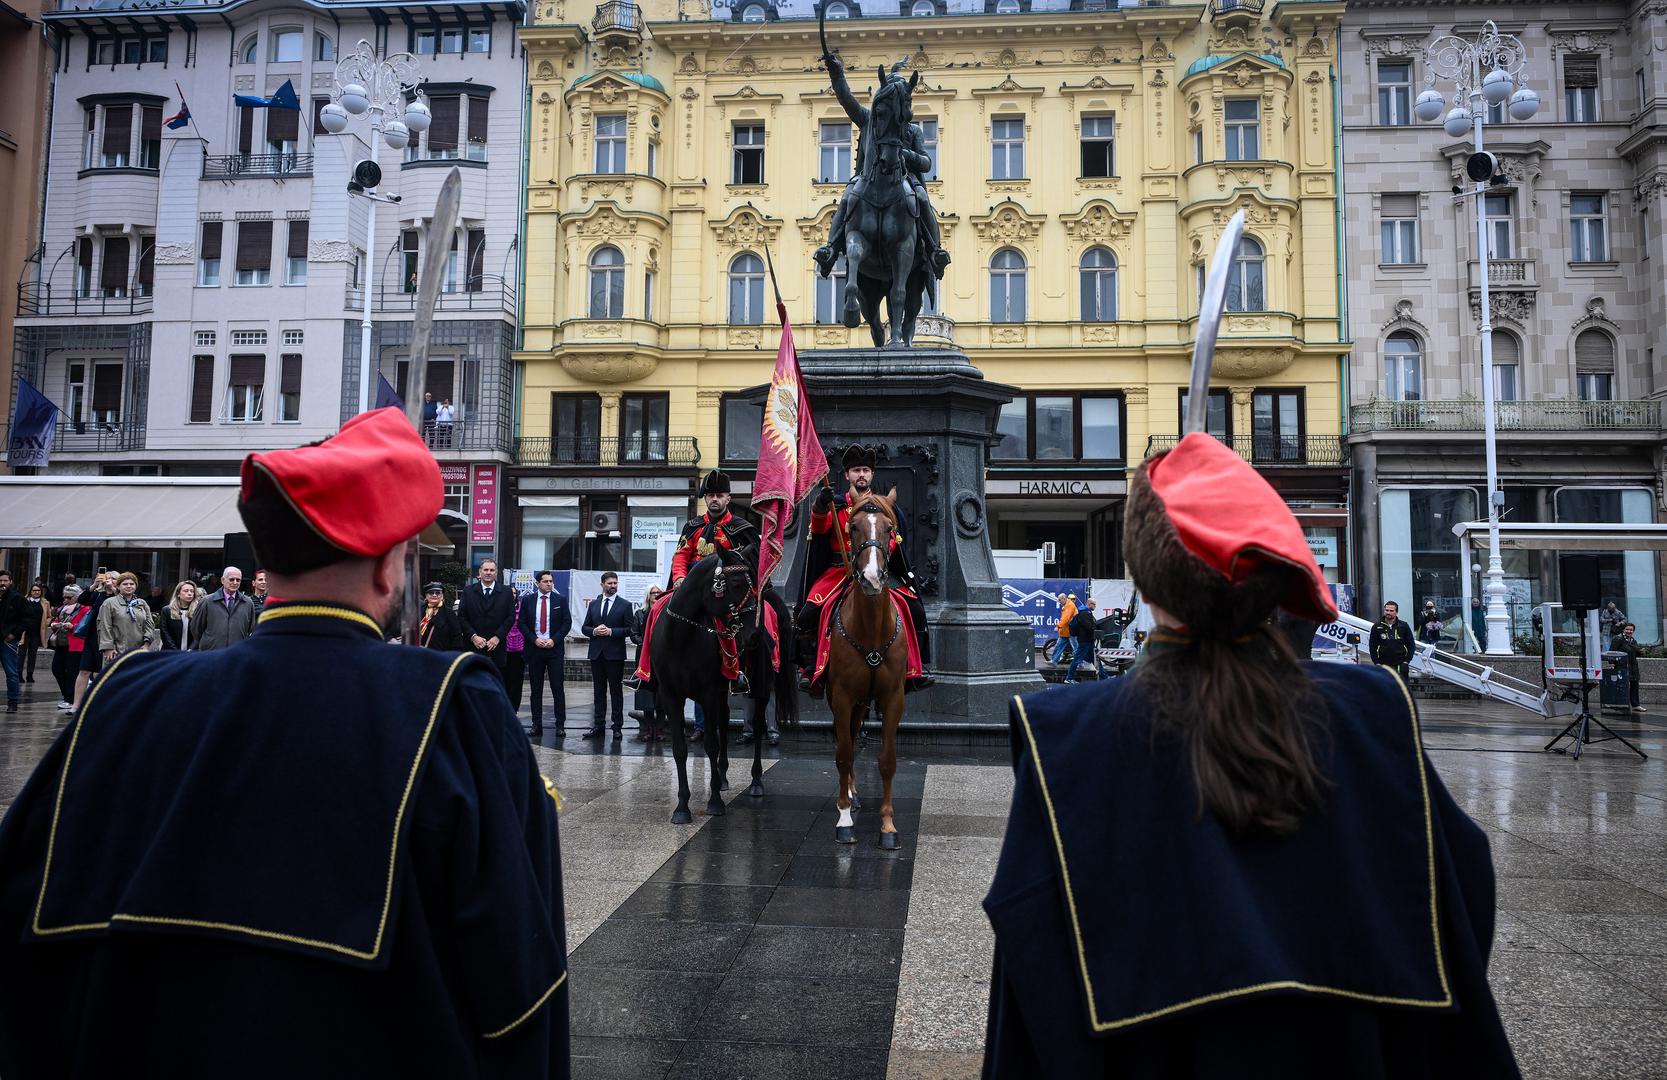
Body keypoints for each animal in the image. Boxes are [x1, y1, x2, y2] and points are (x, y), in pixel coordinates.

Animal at [646, 543, 796, 823]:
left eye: (754, 583)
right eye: (735, 582)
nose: (754, 633)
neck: (681, 637)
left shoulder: (708, 693)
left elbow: (711, 745)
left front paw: (715, 802)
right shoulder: (671, 696)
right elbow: (680, 749)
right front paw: (682, 807)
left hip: (760, 687)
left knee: (757, 727)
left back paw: (755, 781)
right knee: (725, 722)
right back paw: (723, 777)